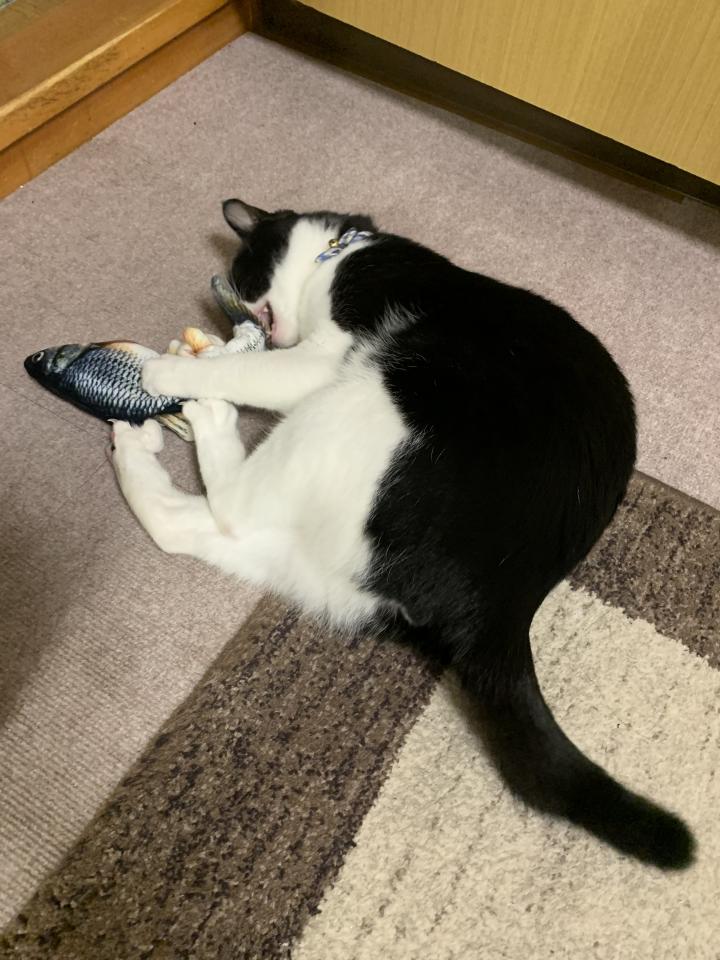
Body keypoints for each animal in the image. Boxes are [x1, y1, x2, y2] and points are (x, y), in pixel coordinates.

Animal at [111, 199, 693, 869]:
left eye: (245, 276)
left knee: (232, 503)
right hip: (321, 552)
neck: (343, 251)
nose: (262, 324)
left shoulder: (325, 353)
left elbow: (255, 370)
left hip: (361, 400)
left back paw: (206, 414)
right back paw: (134, 444)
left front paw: (176, 368)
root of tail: (506, 600)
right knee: (189, 525)